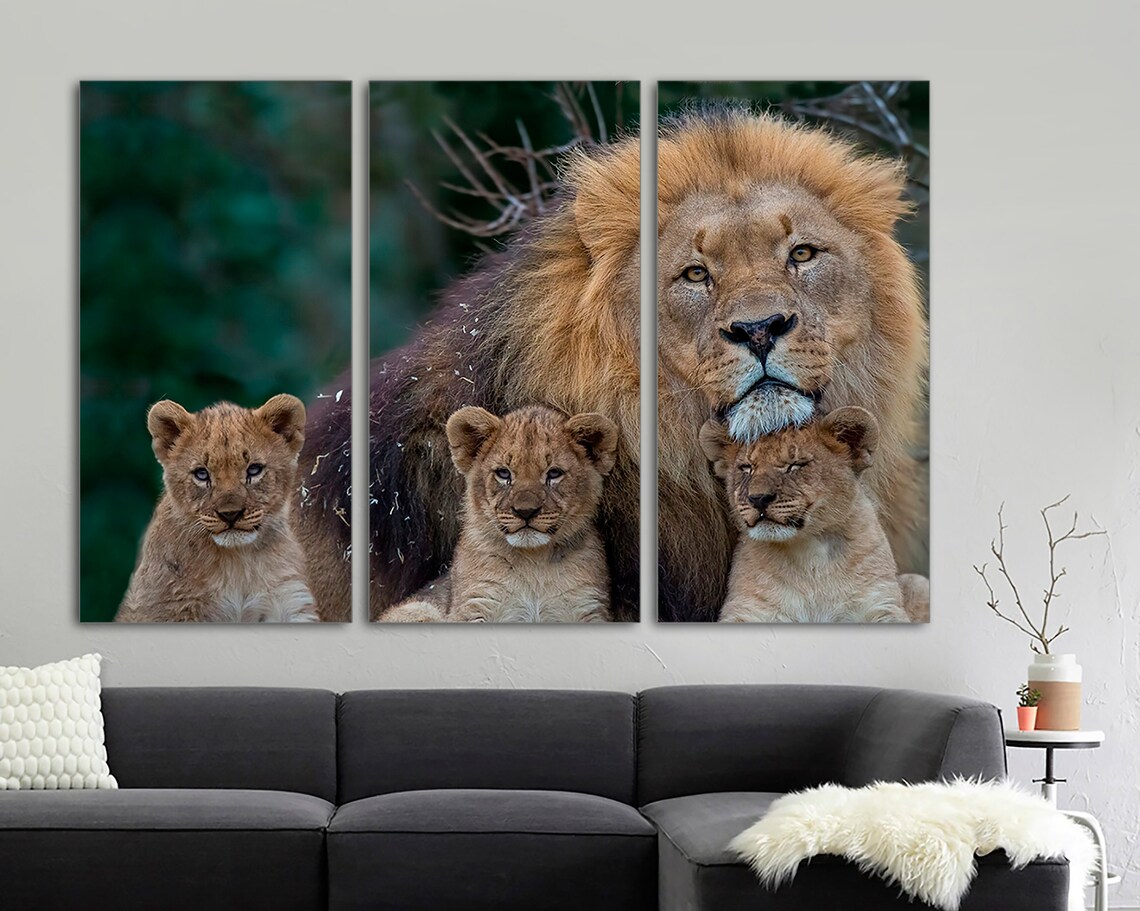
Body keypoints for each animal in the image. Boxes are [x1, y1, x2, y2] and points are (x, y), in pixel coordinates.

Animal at [381, 405, 618, 623]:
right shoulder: (474, 605)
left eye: (554, 473)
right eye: (504, 473)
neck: (533, 562)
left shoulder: (588, 607)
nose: (525, 512)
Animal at [700, 407, 926, 623]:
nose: (758, 499)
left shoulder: (880, 604)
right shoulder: (746, 610)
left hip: (917, 582)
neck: (810, 554)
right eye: (746, 468)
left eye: (795, 465)